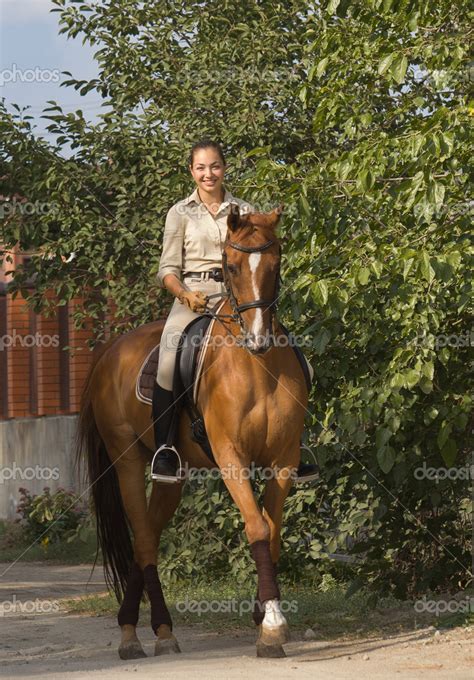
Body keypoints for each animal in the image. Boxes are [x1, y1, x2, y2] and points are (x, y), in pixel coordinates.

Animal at [77, 206, 308, 660]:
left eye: (275, 264)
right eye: (230, 267)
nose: (258, 338)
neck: (259, 368)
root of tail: (111, 350)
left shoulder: (284, 460)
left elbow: (272, 533)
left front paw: (264, 614)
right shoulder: (231, 456)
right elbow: (256, 528)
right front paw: (272, 626)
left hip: (174, 476)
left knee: (147, 536)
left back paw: (157, 632)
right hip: (127, 461)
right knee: (143, 540)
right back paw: (139, 634)